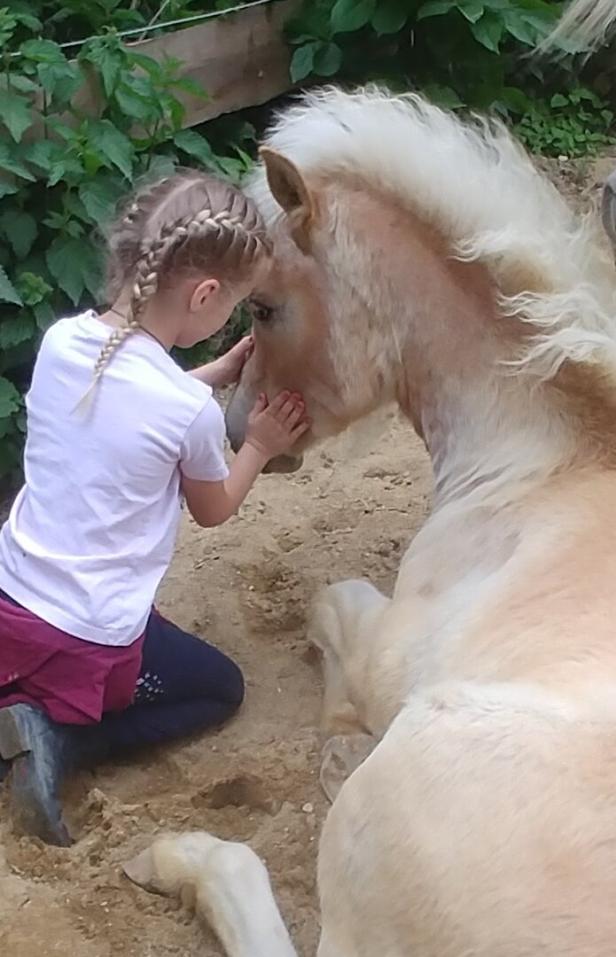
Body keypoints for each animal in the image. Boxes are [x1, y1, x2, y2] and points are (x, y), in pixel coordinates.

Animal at [121, 86, 616, 952]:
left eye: (266, 306)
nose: (239, 430)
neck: (542, 459)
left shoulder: (391, 653)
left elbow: (330, 603)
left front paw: (339, 736)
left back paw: (178, 855)